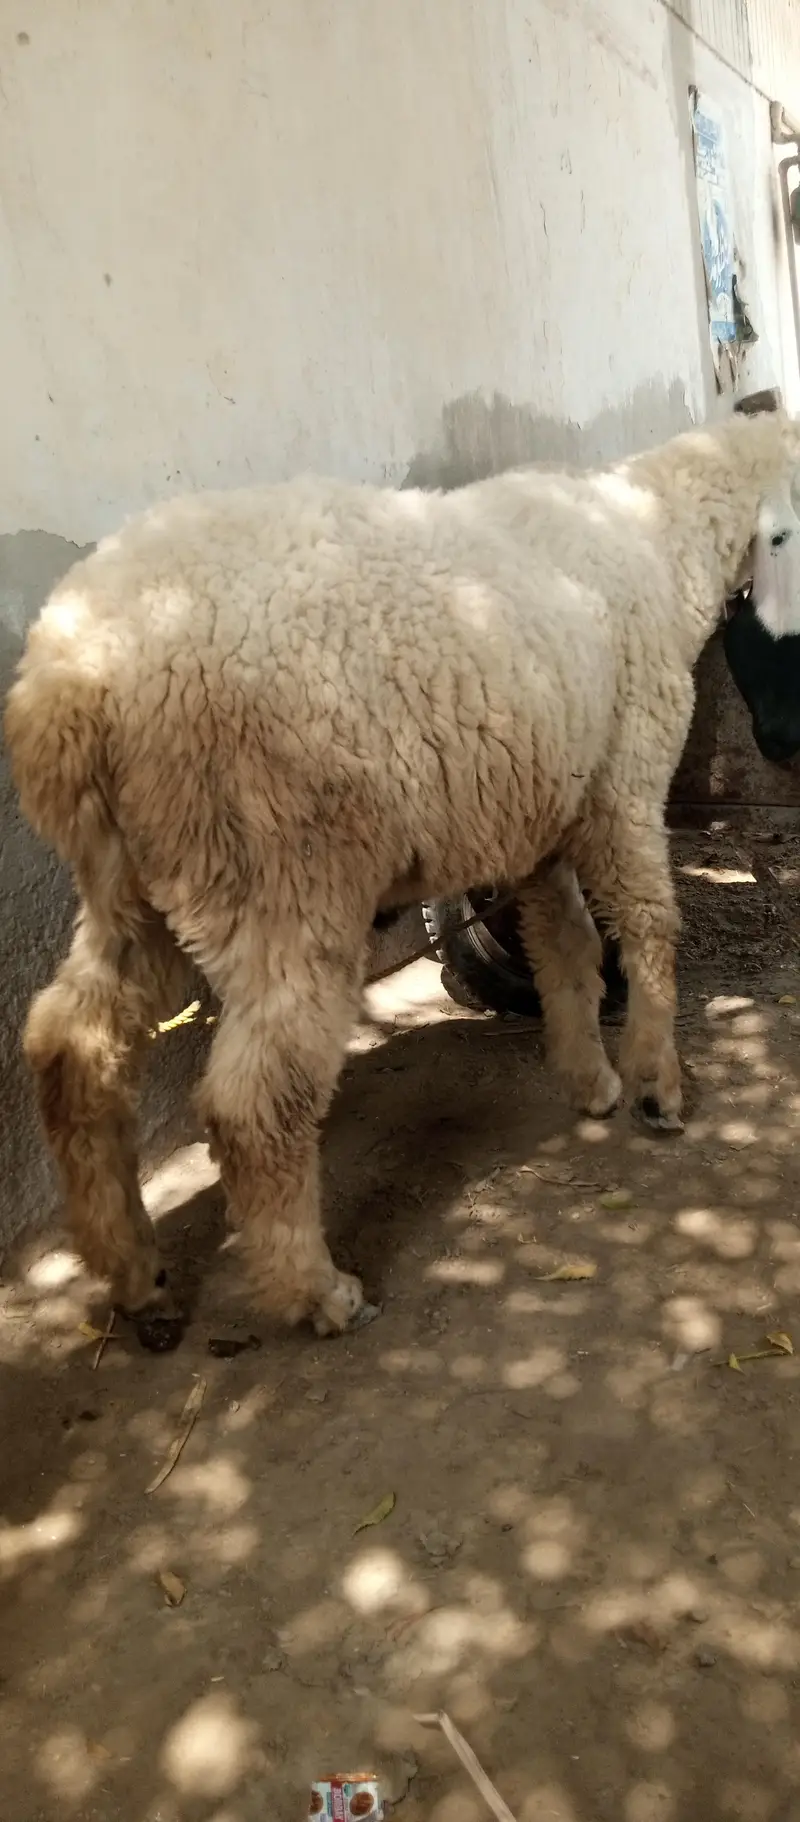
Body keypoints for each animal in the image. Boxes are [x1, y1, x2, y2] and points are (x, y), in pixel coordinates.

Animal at [7, 409, 800, 1349]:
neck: (652, 533)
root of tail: (67, 690)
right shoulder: (623, 783)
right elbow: (648, 929)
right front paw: (656, 1085)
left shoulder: (538, 816)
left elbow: (565, 946)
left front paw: (590, 1079)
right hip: (281, 871)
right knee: (254, 1104)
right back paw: (317, 1292)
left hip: (140, 879)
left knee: (71, 1046)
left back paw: (135, 1273)